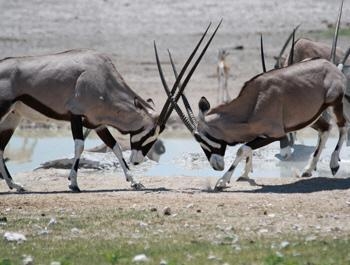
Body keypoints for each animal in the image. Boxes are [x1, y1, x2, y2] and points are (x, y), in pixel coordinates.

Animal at [0, 22, 219, 191]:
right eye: (151, 133)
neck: (102, 78)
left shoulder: (98, 124)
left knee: (1, 149)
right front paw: (73, 183)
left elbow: (115, 147)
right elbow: (79, 146)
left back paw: (15, 185)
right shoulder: (76, 115)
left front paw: (135, 182)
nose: (137, 161)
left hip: (12, 118)